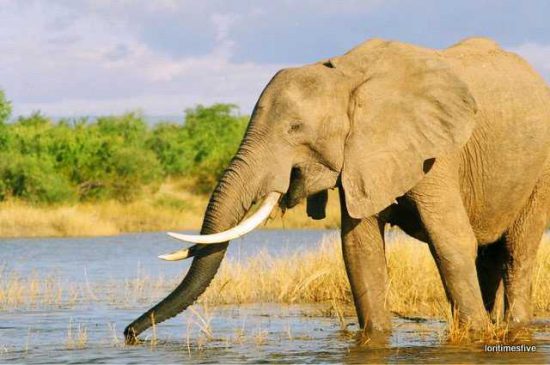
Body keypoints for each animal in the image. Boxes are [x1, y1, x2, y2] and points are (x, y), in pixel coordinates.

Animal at [125, 37, 550, 342]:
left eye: (295, 129)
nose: (129, 333)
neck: (345, 75)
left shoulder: (436, 153)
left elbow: (451, 240)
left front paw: (475, 333)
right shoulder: (358, 156)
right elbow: (359, 249)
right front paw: (377, 336)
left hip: (540, 172)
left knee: (517, 251)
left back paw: (512, 325)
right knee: (490, 253)